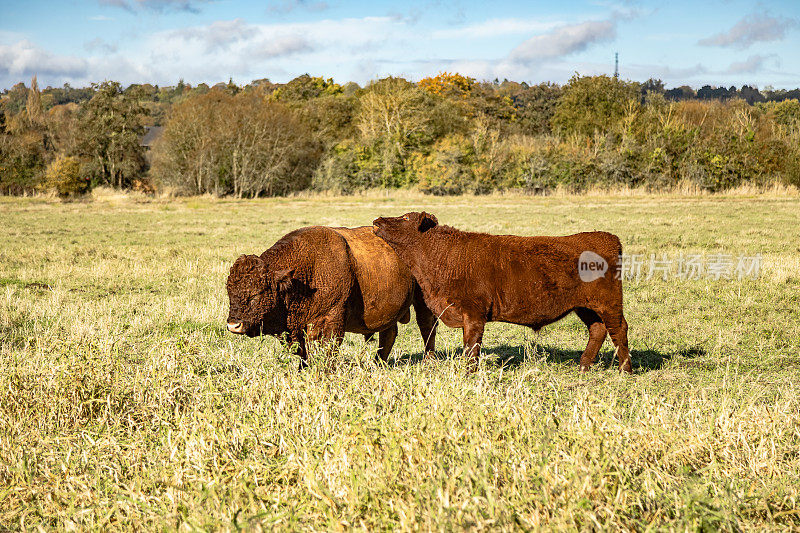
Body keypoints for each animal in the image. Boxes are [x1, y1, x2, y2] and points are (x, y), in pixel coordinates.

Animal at [225, 223, 438, 366]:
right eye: (229, 292)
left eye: (257, 294)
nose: (233, 325)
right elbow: (304, 352)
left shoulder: (332, 318)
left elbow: (328, 348)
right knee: (389, 334)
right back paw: (378, 364)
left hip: (423, 300)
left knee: (427, 327)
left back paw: (428, 360)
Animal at [374, 210, 632, 372]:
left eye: (405, 217)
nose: (377, 220)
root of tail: (605, 237)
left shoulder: (473, 314)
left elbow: (471, 346)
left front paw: (469, 373)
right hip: (586, 306)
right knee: (597, 330)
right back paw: (583, 366)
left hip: (609, 303)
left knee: (619, 329)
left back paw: (625, 369)